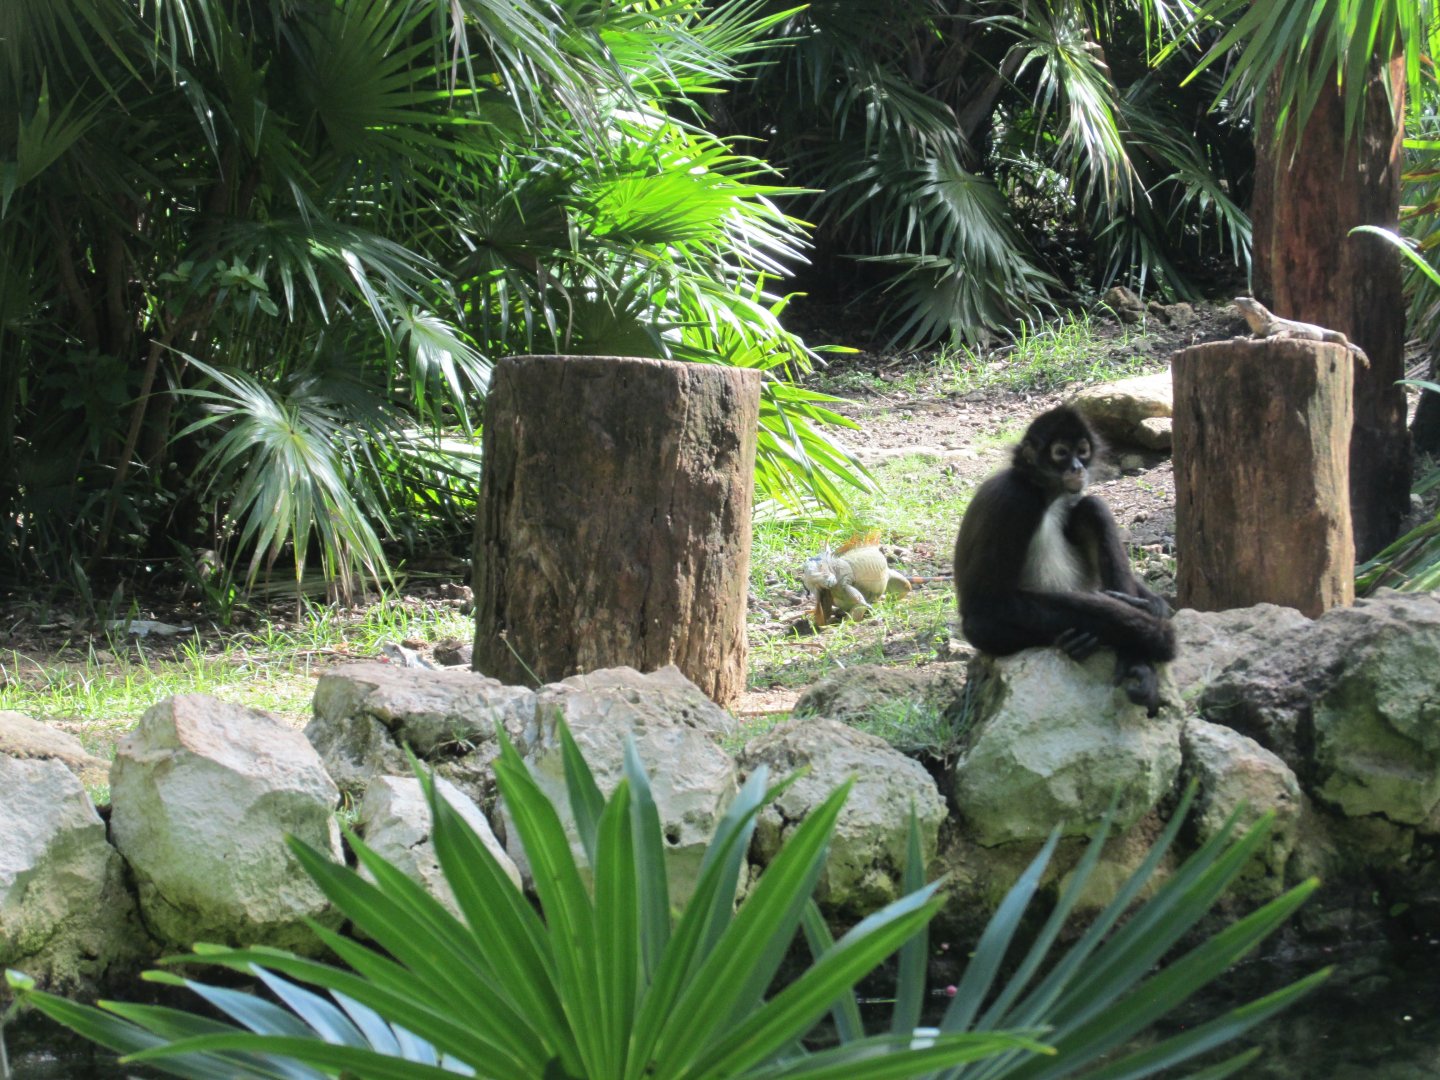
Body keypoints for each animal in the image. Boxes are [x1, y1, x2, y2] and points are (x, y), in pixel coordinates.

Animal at [953, 405, 1175, 716]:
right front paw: (1151, 633)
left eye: (1082, 451)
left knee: (1092, 507)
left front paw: (1152, 607)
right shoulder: (1014, 502)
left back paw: (1135, 662)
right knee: (981, 626)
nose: (1077, 468)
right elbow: (989, 604)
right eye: (1060, 453)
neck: (1040, 490)